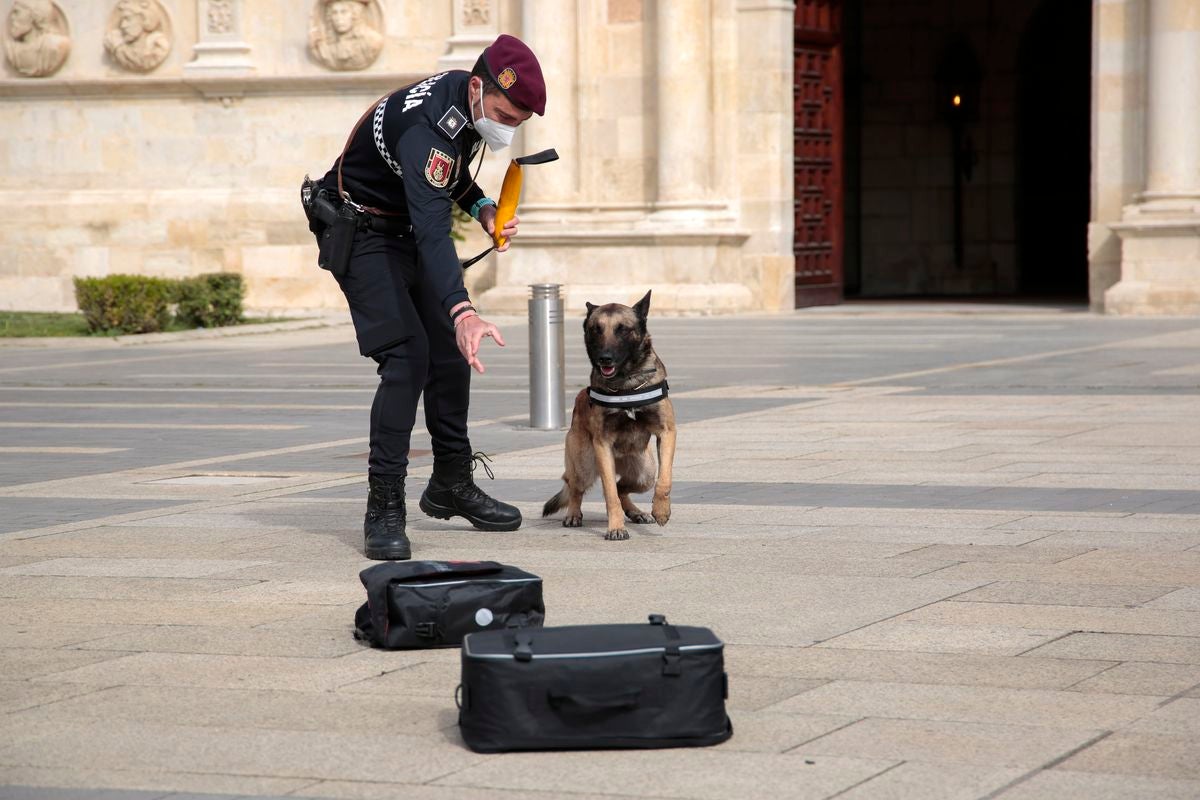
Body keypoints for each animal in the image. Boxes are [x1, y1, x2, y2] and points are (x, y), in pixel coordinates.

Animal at [544, 291, 676, 542]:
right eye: (596, 329)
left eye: (622, 329)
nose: (604, 358)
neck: (626, 384)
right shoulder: (602, 446)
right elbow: (610, 494)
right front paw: (615, 528)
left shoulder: (667, 433)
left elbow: (664, 480)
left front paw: (661, 510)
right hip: (585, 466)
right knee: (577, 486)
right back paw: (573, 514)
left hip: (644, 474)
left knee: (624, 487)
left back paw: (636, 512)